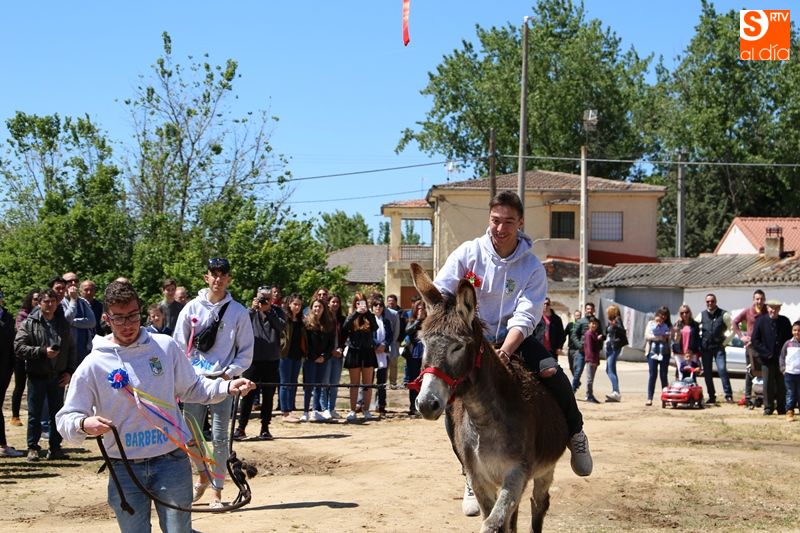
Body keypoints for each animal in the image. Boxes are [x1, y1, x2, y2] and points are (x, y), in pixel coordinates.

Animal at [409, 263, 568, 533]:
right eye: (423, 342)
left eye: (458, 346)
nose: (426, 404)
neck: (484, 420)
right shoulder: (480, 479)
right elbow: (495, 520)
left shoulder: (516, 474)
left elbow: (493, 524)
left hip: (545, 470)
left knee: (539, 503)